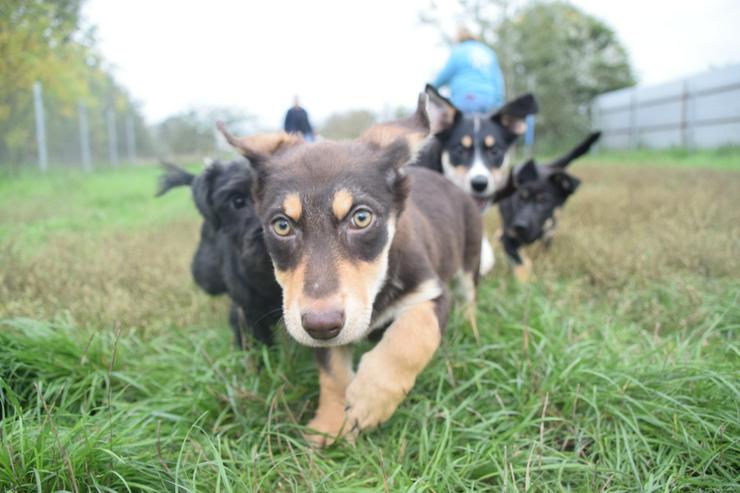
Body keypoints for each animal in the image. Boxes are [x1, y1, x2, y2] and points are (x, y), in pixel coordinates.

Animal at [218, 86, 486, 444]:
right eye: (282, 225)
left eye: (361, 218)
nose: (321, 324)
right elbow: (332, 372)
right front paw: (331, 423)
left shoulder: (432, 293)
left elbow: (413, 337)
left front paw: (368, 401)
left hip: (467, 261)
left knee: (469, 297)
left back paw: (471, 330)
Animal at [498, 131, 600, 280]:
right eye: (520, 198)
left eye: (543, 202)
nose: (519, 226)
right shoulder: (509, 236)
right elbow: (520, 261)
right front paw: (525, 279)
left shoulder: (548, 234)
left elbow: (541, 253)